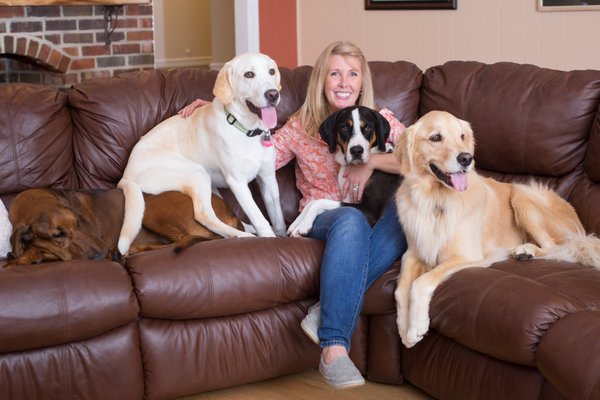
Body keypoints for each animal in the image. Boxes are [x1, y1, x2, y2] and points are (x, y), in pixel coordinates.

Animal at [4, 188, 244, 268]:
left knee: (185, 237)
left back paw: (134, 250)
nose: (102, 254)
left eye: (78, 223)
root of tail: (231, 213)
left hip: (150, 206)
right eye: (57, 234)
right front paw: (20, 257)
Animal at [118, 53, 288, 255]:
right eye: (249, 74)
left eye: (271, 71)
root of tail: (126, 175)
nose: (273, 94)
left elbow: (277, 216)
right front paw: (269, 238)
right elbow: (258, 216)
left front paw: (283, 235)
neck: (246, 129)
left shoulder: (268, 178)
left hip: (210, 185)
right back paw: (241, 236)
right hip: (196, 173)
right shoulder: (237, 183)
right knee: (203, 214)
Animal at [288, 106, 400, 236]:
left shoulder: (371, 209)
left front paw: (304, 225)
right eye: (344, 127)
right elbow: (312, 202)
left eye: (368, 127)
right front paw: (296, 223)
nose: (356, 151)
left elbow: (319, 202)